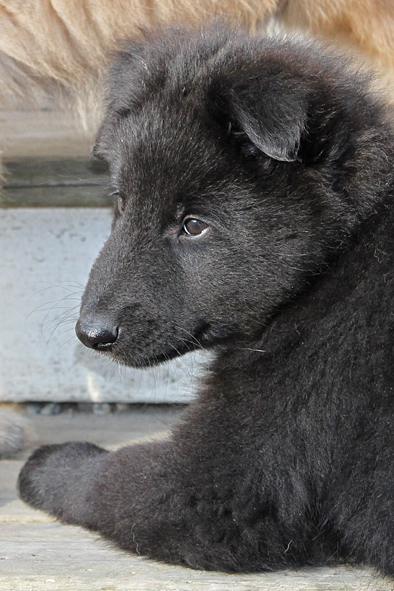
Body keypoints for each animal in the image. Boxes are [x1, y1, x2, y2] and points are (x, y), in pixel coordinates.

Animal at [19, 25, 394, 576]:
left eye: (193, 225)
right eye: (122, 201)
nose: (91, 334)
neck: (339, 257)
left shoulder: (231, 470)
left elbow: (109, 479)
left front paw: (48, 462)